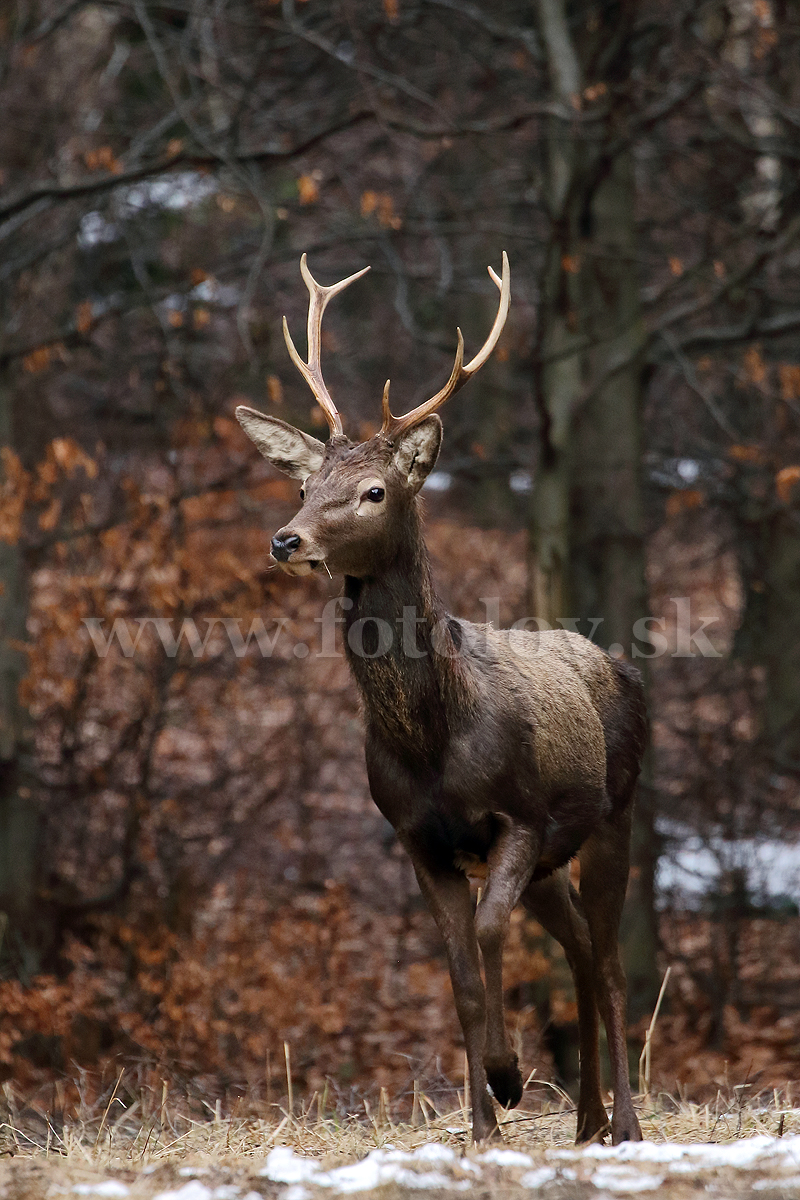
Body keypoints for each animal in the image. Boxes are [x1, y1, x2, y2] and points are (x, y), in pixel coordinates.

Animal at [235, 253, 647, 1142]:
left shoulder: (520, 814)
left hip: (614, 815)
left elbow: (489, 933)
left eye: (375, 492)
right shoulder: (415, 836)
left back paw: (625, 1124)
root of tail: (618, 661)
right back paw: (586, 1119)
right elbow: (457, 972)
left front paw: (507, 1077)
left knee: (610, 963)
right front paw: (485, 1124)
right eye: (305, 485)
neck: (433, 740)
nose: (286, 539)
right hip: (555, 860)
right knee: (579, 953)